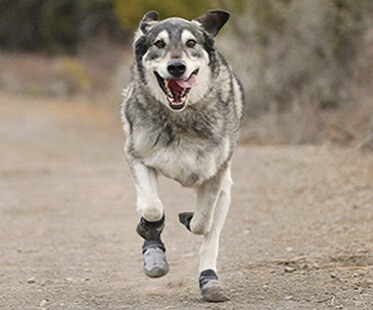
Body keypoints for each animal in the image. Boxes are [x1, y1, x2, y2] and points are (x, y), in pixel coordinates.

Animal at [120, 10, 246, 302]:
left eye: (191, 43)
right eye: (159, 44)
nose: (176, 67)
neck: (181, 117)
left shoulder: (215, 175)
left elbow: (202, 223)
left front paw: (188, 219)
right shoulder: (137, 156)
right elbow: (152, 208)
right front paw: (150, 235)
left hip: (226, 188)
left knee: (210, 237)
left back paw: (210, 282)